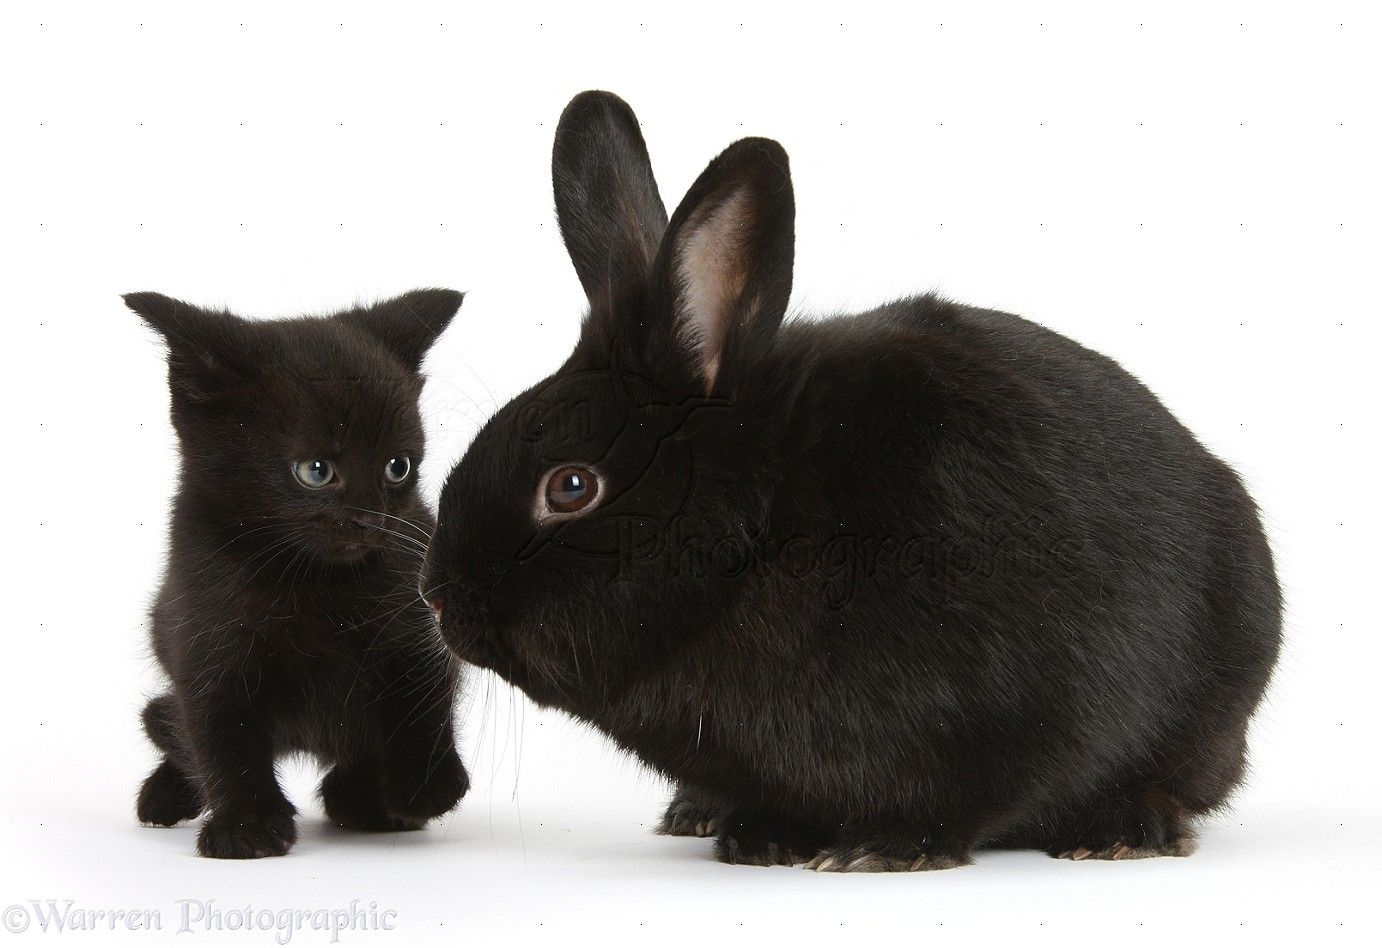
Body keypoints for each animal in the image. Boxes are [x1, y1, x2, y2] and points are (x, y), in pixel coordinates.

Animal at [422, 91, 1282, 871]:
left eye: (571, 487)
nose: (436, 594)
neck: (760, 540)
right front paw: (760, 837)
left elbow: (961, 796)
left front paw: (888, 849)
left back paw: (1121, 830)